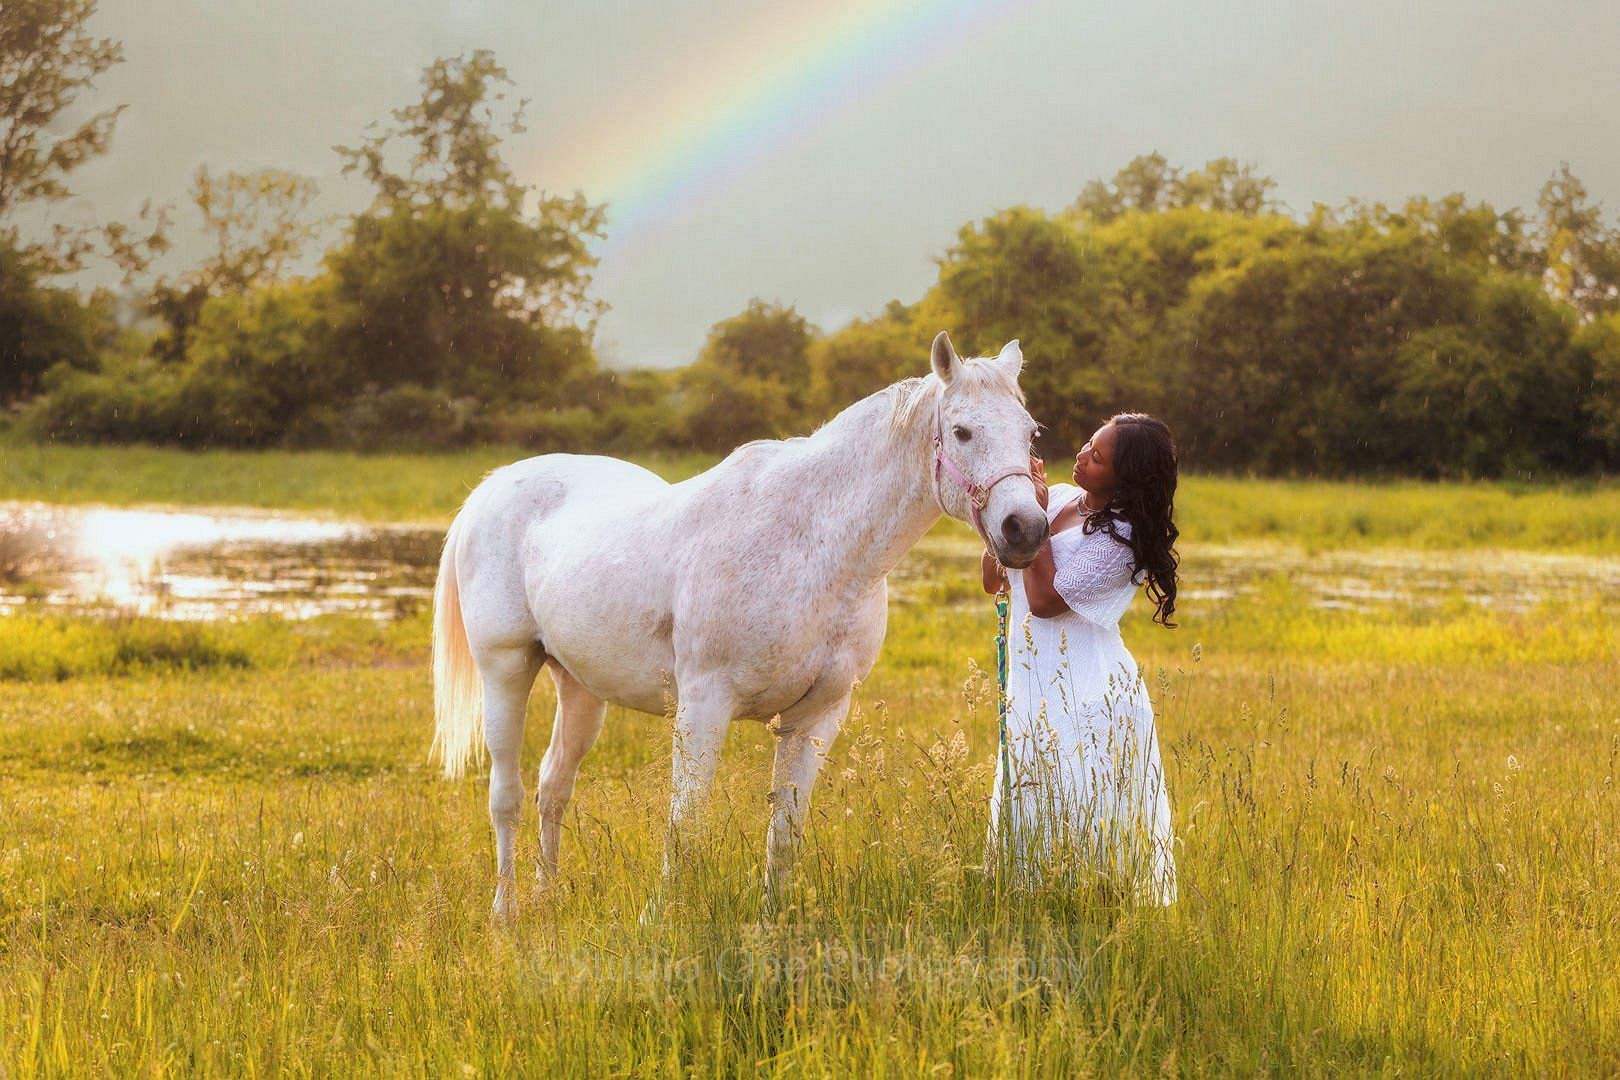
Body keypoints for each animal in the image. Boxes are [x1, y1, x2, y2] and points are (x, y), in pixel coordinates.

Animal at [430, 331, 1043, 913]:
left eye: (1031, 433)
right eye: (962, 432)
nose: (1025, 530)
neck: (812, 546)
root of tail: (493, 486)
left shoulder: (816, 717)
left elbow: (784, 834)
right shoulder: (703, 707)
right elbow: (684, 828)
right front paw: (662, 919)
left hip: (580, 687)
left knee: (553, 786)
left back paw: (548, 896)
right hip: (505, 672)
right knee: (506, 796)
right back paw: (506, 912)